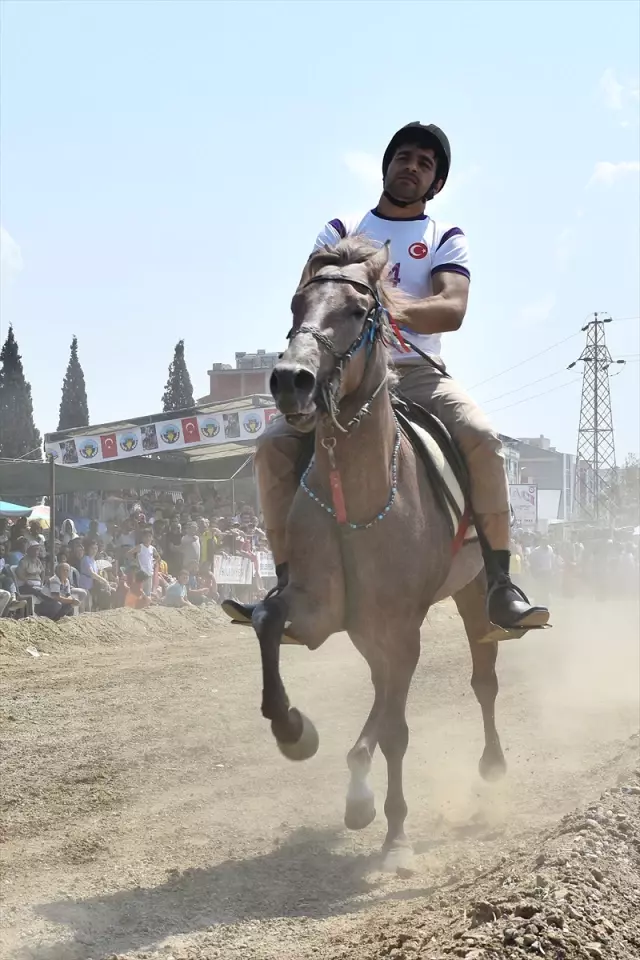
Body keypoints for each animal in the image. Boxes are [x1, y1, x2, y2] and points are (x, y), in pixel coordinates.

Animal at [250, 236, 504, 872]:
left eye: (357, 310)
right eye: (297, 304)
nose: (291, 380)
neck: (356, 496)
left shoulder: (400, 624)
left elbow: (398, 729)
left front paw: (397, 840)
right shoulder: (319, 610)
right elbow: (267, 620)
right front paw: (295, 731)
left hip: (469, 592)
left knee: (481, 678)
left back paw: (490, 764)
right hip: (366, 626)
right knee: (383, 689)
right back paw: (355, 785)